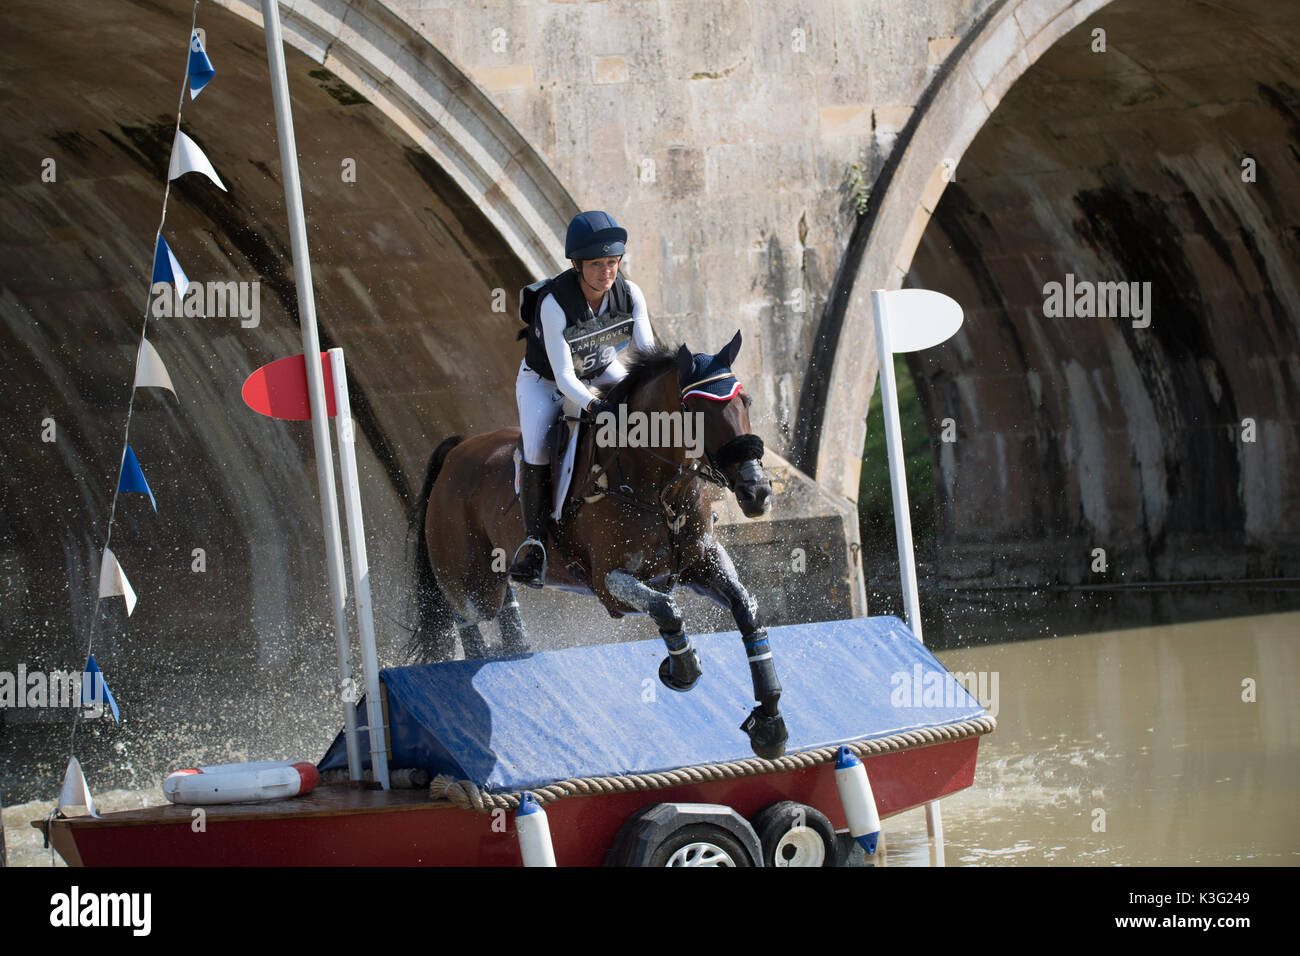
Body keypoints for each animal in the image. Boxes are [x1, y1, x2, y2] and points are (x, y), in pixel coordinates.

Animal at [410, 332, 785, 759]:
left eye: (746, 402)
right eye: (695, 411)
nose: (756, 493)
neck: (660, 490)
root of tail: (455, 453)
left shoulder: (701, 564)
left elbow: (747, 610)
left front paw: (770, 722)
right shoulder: (610, 582)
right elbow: (667, 609)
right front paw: (681, 671)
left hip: (497, 573)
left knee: (505, 611)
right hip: (471, 584)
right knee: (468, 619)